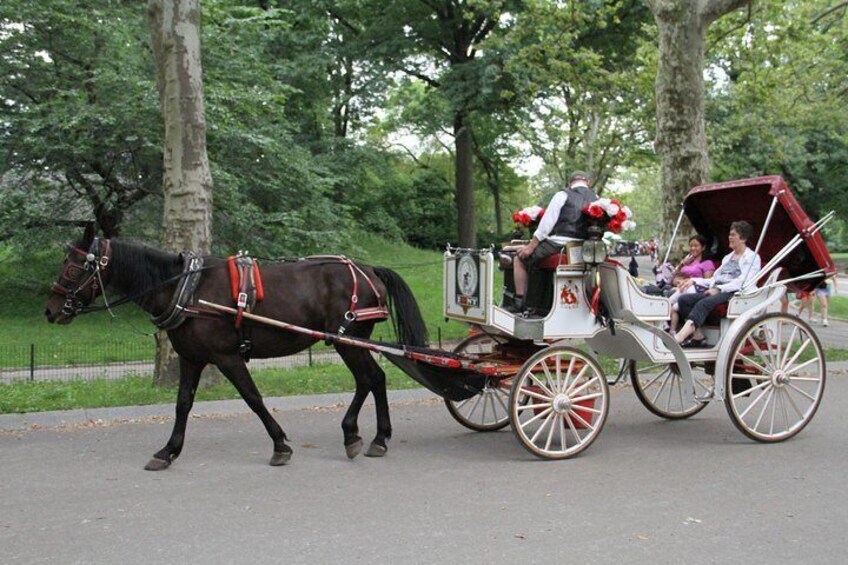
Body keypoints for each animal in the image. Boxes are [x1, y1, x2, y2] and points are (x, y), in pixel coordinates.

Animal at [43, 227, 428, 470]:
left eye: (74, 267)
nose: (50, 309)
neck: (188, 291)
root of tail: (367, 269)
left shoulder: (226, 357)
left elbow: (253, 399)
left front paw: (280, 445)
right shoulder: (192, 359)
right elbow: (183, 405)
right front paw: (168, 451)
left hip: (349, 341)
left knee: (370, 379)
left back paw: (365, 436)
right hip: (349, 342)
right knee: (372, 380)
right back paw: (371, 436)